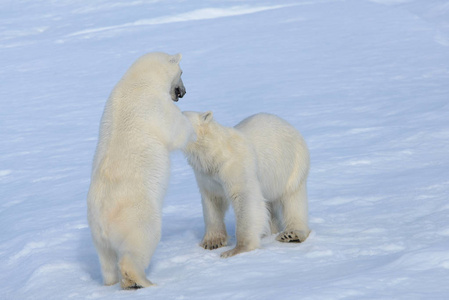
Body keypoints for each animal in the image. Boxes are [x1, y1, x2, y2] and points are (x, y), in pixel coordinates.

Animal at [86, 52, 194, 290]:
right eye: (182, 72)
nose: (183, 92)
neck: (137, 81)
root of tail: (103, 222)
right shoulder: (155, 106)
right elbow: (177, 131)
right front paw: (192, 119)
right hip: (137, 216)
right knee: (142, 242)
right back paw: (142, 280)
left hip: (97, 236)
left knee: (106, 261)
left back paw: (112, 282)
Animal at [183, 111, 312, 256]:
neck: (213, 153)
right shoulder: (207, 176)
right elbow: (212, 202)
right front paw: (212, 242)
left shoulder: (235, 166)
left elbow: (245, 199)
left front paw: (237, 249)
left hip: (292, 166)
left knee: (293, 200)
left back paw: (291, 234)